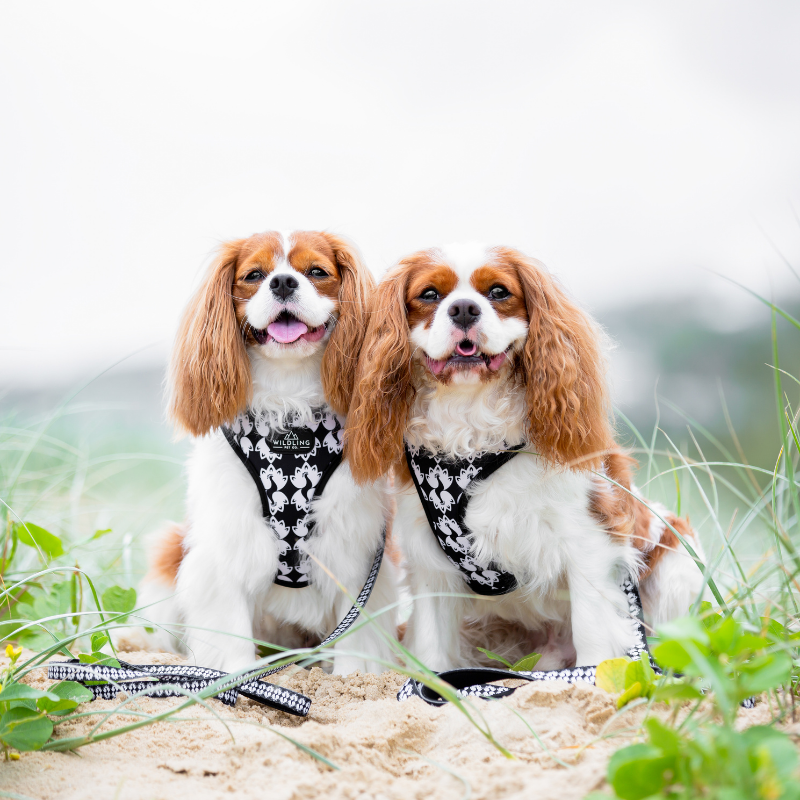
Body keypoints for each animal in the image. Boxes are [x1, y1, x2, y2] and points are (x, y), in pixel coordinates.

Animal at [128, 230, 400, 676]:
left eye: (316, 272)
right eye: (254, 275)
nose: (284, 282)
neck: (288, 401)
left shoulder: (357, 548)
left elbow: (358, 636)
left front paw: (353, 678)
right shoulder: (227, 540)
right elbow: (230, 632)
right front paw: (235, 678)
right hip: (173, 546)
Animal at [346, 244, 704, 676]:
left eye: (499, 292)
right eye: (430, 295)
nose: (464, 309)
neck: (471, 421)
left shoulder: (590, 539)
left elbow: (591, 627)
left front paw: (592, 674)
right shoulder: (427, 554)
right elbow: (433, 646)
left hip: (678, 561)